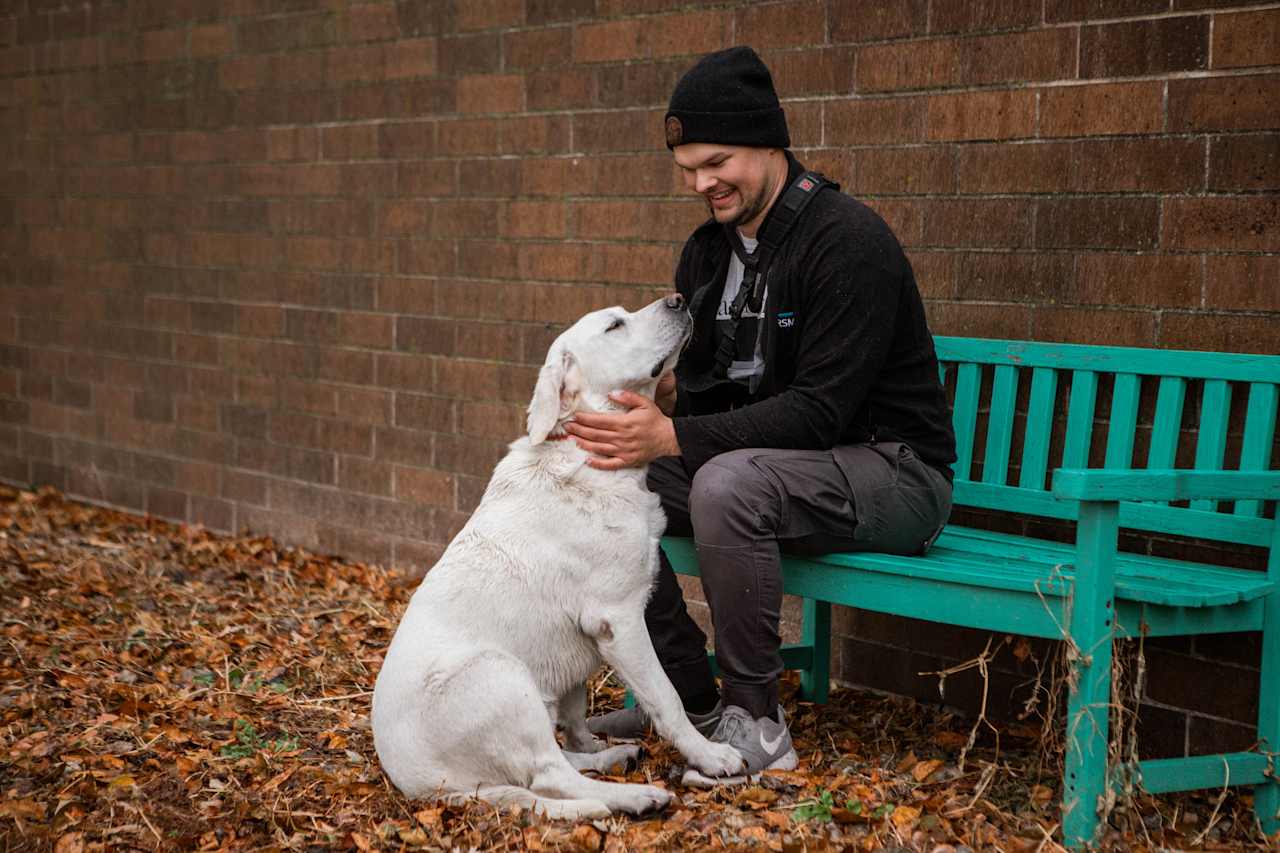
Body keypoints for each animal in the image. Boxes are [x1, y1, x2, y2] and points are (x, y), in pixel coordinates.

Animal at [371, 295, 747, 814]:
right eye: (614, 325)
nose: (678, 299)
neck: (584, 454)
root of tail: (420, 784)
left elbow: (576, 718)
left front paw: (596, 745)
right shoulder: (619, 620)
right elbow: (666, 697)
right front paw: (709, 755)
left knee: (555, 763)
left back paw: (612, 760)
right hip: (500, 675)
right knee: (550, 777)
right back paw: (635, 797)